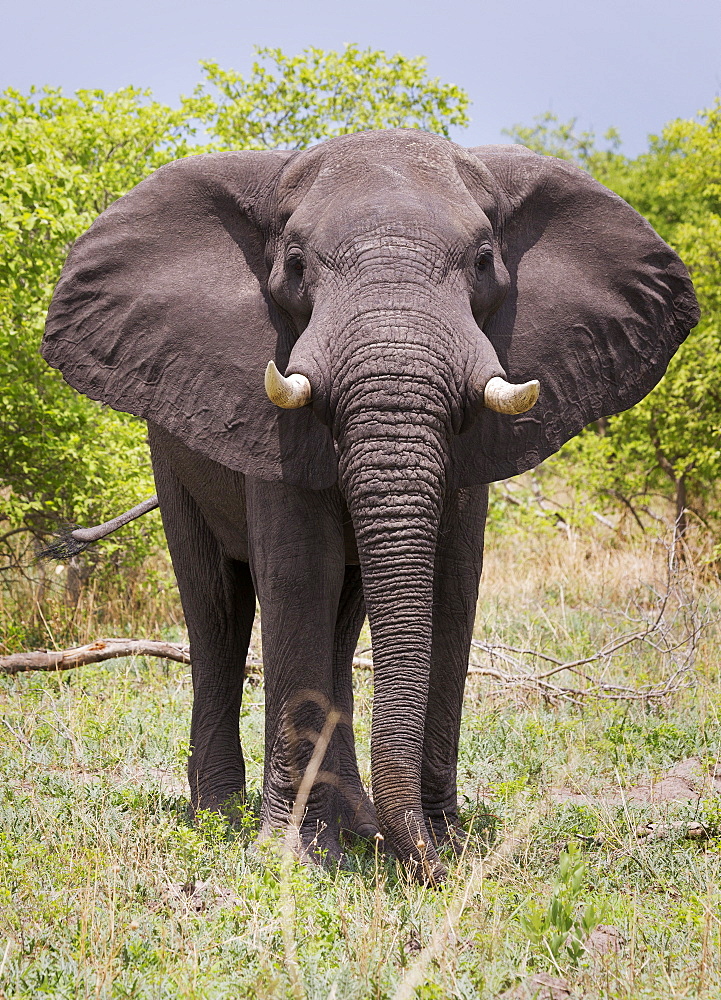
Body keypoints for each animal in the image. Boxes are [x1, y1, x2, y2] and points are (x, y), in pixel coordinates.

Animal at [40, 127, 696, 884]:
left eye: (483, 260)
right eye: (295, 263)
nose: (430, 871)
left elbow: (450, 584)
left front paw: (440, 844)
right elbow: (300, 576)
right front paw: (294, 858)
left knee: (345, 620)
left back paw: (353, 824)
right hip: (169, 453)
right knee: (217, 608)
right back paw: (222, 819)